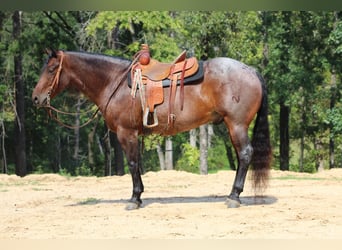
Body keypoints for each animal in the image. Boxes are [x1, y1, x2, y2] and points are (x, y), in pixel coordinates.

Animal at [32, 48, 272, 209]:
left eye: (51, 69)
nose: (36, 98)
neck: (114, 82)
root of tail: (251, 71)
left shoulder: (126, 133)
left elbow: (132, 164)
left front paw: (134, 198)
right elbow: (136, 164)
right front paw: (139, 195)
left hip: (237, 125)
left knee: (245, 154)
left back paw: (234, 196)